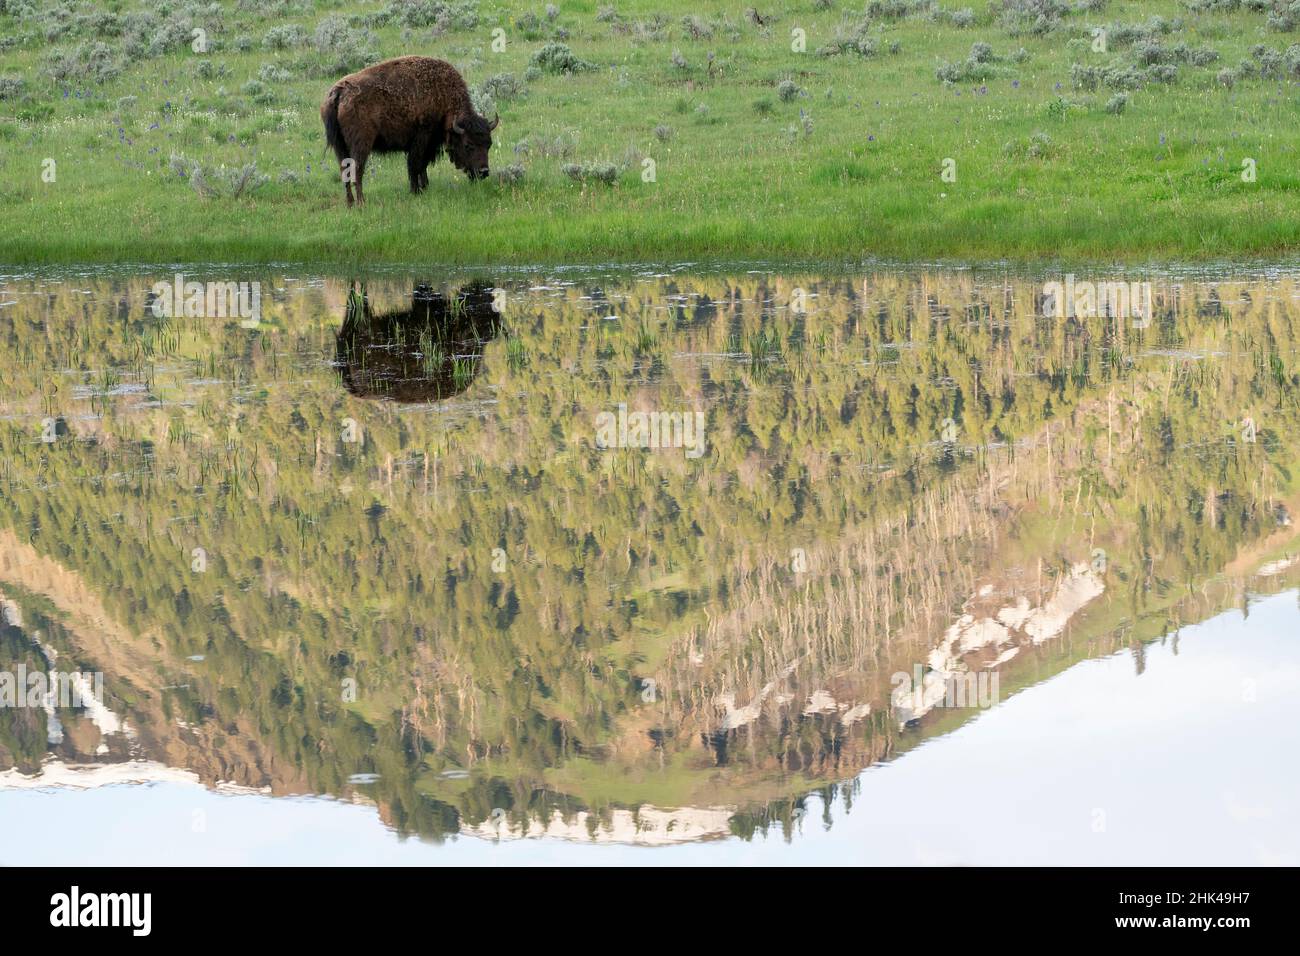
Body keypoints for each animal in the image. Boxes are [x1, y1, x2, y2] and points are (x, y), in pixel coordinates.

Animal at [321, 56, 498, 205]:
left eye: (489, 144)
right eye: (468, 145)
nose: (484, 172)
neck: (442, 95)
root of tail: (339, 91)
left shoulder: (427, 144)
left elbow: (422, 166)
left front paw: (424, 187)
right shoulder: (422, 138)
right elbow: (415, 165)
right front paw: (416, 191)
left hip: (340, 146)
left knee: (344, 170)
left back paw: (350, 203)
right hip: (361, 145)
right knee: (356, 170)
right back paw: (361, 202)